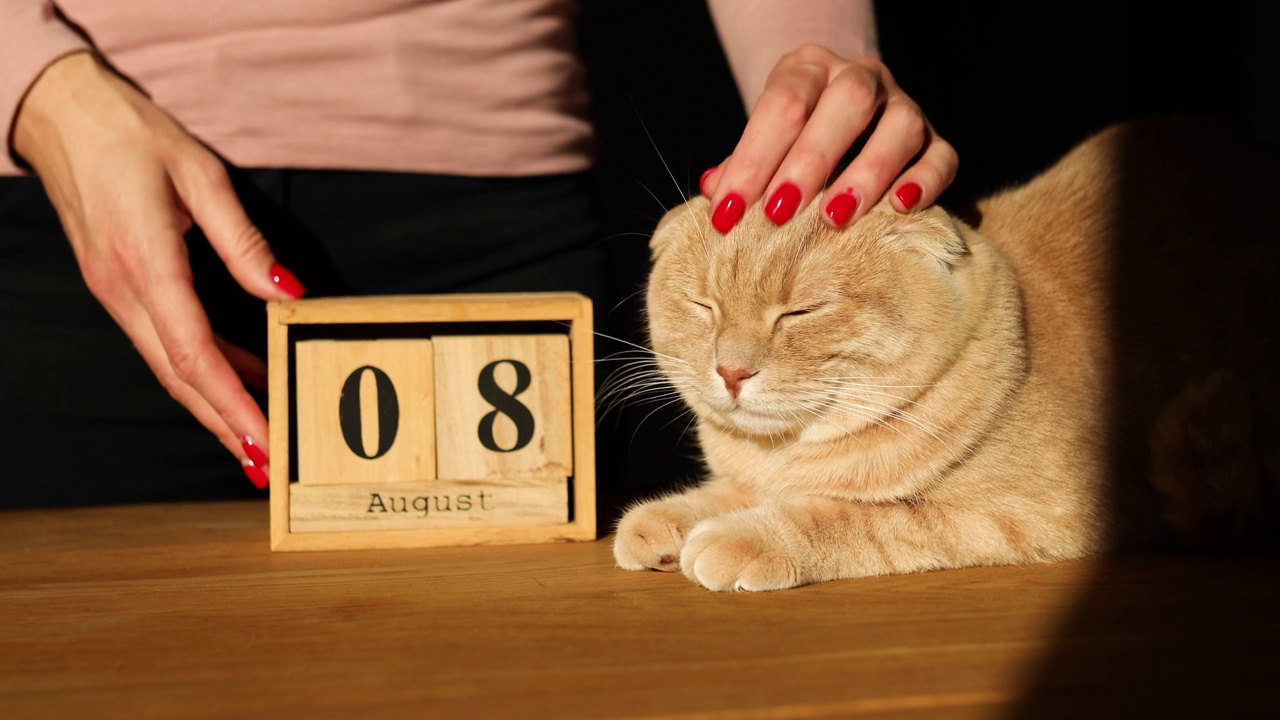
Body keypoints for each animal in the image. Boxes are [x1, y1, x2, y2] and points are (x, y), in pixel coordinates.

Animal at [611, 116, 1280, 589]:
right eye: (704, 306)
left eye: (800, 312)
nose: (731, 370)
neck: (780, 457)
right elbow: (727, 493)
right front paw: (669, 519)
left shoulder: (1028, 514)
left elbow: (856, 518)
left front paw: (746, 536)